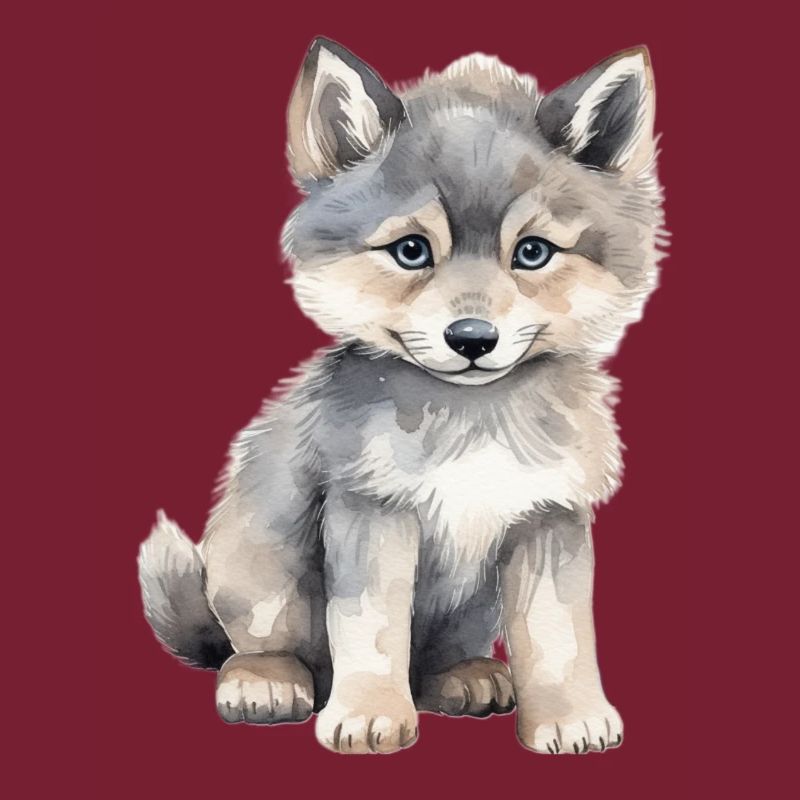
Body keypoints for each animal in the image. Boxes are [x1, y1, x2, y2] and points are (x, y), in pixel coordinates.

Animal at [138, 37, 665, 755]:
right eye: (412, 251)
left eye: (532, 253)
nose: (472, 338)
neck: (473, 420)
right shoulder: (371, 511)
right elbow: (372, 629)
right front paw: (368, 716)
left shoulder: (547, 516)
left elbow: (558, 635)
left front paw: (569, 718)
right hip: (262, 567)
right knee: (253, 645)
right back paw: (265, 682)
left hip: (472, 608)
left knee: (436, 659)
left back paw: (466, 677)